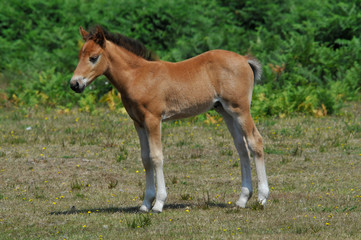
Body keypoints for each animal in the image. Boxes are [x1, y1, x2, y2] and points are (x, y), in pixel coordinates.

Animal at [69, 26, 268, 213]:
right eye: (79, 55)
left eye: (93, 57)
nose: (75, 84)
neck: (138, 76)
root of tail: (244, 59)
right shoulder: (138, 122)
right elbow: (145, 158)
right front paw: (145, 204)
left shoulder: (153, 120)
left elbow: (156, 157)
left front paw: (158, 203)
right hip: (226, 112)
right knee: (241, 147)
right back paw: (242, 199)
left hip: (240, 110)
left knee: (254, 141)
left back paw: (261, 198)